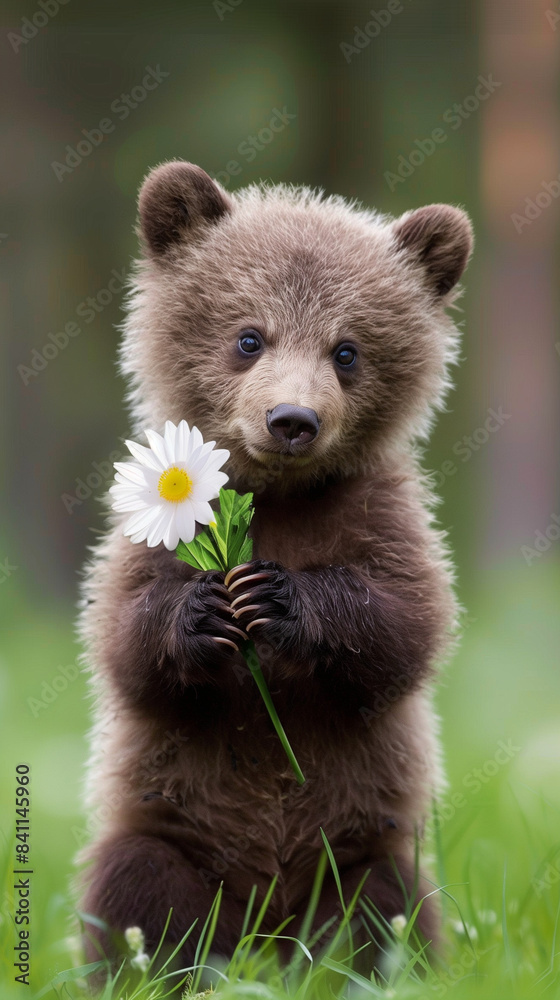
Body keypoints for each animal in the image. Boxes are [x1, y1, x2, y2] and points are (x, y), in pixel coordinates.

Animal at [77, 161, 473, 979]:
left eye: (347, 349)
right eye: (248, 336)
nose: (292, 420)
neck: (278, 495)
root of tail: (263, 930)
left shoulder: (379, 513)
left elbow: (405, 624)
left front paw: (277, 598)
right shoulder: (143, 527)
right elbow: (123, 636)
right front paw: (203, 610)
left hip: (355, 847)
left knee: (380, 906)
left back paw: (350, 971)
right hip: (175, 827)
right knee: (141, 888)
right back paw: (169, 970)